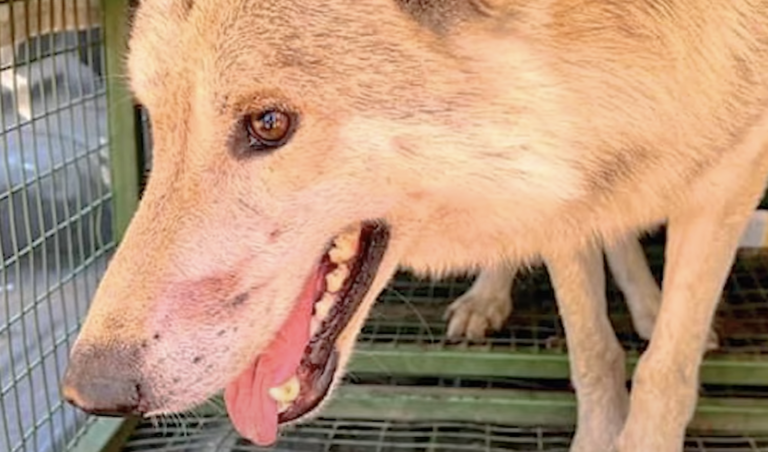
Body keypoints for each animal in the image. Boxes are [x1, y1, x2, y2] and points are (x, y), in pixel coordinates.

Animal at [61, 1, 768, 451]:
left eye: (269, 124)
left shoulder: (730, 181)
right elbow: (593, 356)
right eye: (155, 122)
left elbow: (662, 377)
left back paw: (647, 306)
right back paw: (487, 298)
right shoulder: (567, 198)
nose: (87, 391)